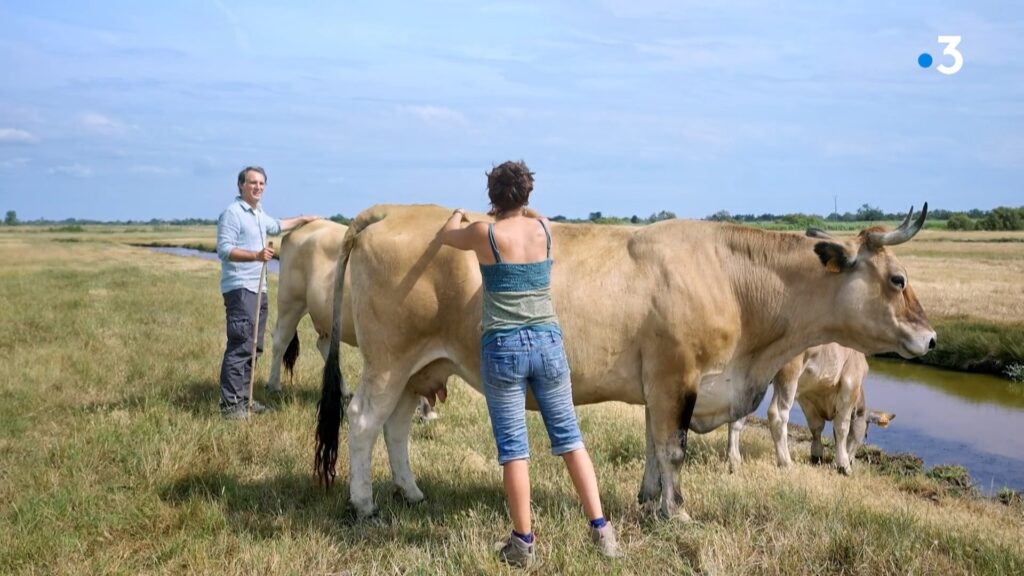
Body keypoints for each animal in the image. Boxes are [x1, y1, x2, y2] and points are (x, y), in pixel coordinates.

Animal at [720, 342, 897, 473]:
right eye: (866, 434)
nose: (853, 461)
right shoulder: (850, 382)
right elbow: (842, 427)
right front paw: (843, 465)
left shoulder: (807, 395)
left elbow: (816, 427)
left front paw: (816, 455)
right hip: (789, 371)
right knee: (777, 415)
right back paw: (786, 462)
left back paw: (733, 461)